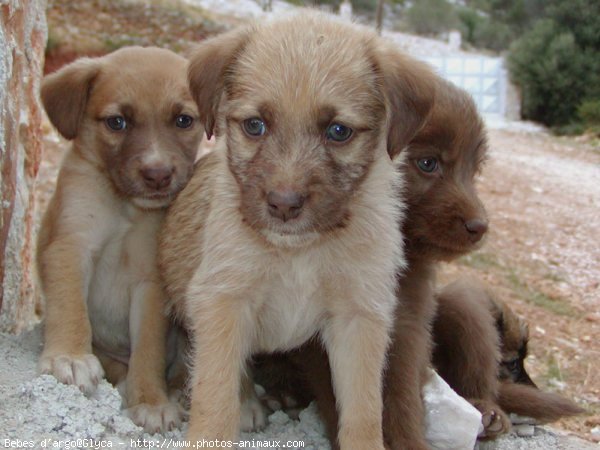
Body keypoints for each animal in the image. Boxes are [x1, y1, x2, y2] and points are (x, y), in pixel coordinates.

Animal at [37, 45, 202, 432]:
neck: (125, 208)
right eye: (117, 122)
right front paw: (69, 356)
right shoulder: (71, 246)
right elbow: (70, 308)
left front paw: (151, 401)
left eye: (183, 120)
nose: (158, 175)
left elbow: (148, 350)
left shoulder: (150, 280)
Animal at [158, 12, 436, 448]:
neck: (300, 252)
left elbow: (363, 412)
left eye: (338, 131)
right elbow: (215, 397)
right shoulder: (223, 301)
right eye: (255, 125)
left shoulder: (359, 318)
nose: (284, 204)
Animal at [253, 78, 492, 450]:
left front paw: (409, 442)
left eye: (474, 170)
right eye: (427, 163)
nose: (479, 226)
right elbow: (340, 396)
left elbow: (403, 397)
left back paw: (490, 412)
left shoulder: (407, 324)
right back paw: (282, 393)